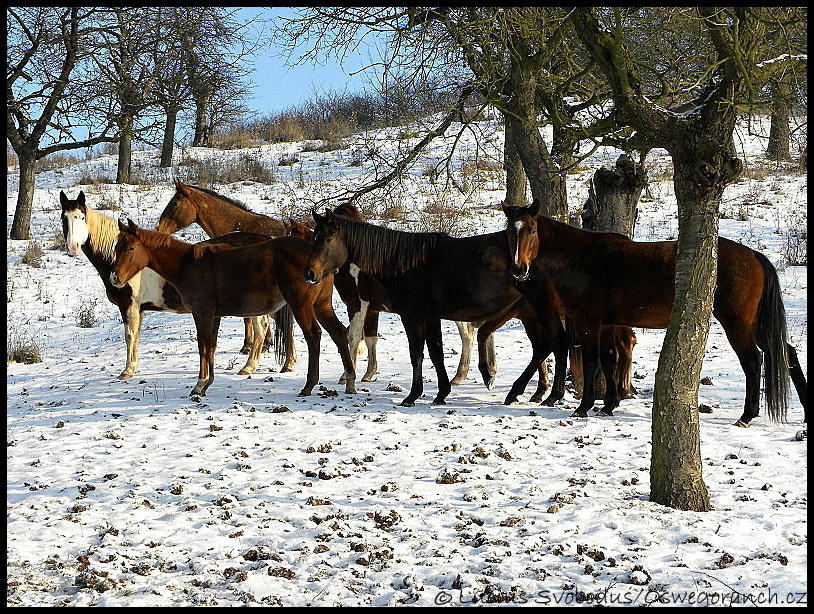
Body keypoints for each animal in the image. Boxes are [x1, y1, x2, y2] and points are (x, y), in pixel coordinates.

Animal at [57, 192, 280, 382]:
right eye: (64, 218)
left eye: (81, 217)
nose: (72, 248)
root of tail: (265, 240)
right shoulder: (139, 309)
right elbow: (136, 337)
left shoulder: (129, 305)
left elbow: (130, 336)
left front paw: (127, 371)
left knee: (260, 329)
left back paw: (249, 366)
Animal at [110, 218, 356, 400]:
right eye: (116, 247)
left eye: (131, 247)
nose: (115, 278)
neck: (191, 265)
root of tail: (317, 260)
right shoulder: (214, 315)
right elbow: (211, 347)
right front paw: (207, 383)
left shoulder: (202, 313)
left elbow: (203, 346)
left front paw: (199, 385)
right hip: (321, 305)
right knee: (339, 332)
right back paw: (350, 379)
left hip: (301, 304)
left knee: (313, 335)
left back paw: (309, 385)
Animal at [156, 180, 482, 388]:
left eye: (174, 202)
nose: (159, 228)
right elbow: (364, 337)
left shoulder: (355, 303)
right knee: (467, 331)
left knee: (466, 331)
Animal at [306, 211, 580, 410]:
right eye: (314, 238)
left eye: (327, 239)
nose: (310, 273)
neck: (406, 264)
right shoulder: (431, 318)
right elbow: (436, 353)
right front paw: (441, 393)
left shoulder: (412, 317)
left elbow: (417, 353)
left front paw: (413, 396)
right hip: (531, 313)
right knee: (543, 348)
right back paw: (517, 391)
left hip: (541, 310)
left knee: (557, 344)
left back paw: (550, 395)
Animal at [504, 202, 808, 428]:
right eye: (510, 231)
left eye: (531, 230)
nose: (519, 269)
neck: (580, 258)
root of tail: (754, 255)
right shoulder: (608, 323)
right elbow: (609, 359)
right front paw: (609, 404)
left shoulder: (587, 320)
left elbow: (591, 361)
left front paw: (584, 406)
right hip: (754, 324)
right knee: (787, 353)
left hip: (737, 323)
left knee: (753, 361)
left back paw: (747, 415)